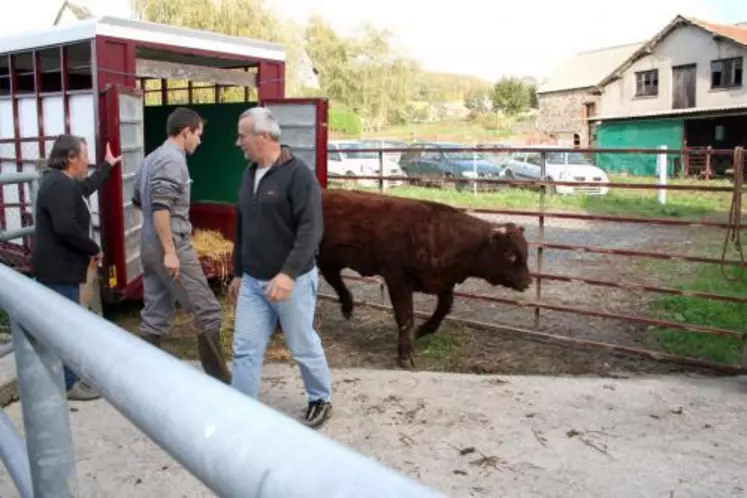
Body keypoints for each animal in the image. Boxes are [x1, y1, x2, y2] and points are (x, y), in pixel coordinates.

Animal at [316, 191, 532, 370]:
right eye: (510, 254)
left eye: (525, 252)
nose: (528, 282)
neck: (438, 233)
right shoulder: (397, 279)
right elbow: (406, 316)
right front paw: (405, 355)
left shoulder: (443, 282)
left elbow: (444, 308)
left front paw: (423, 330)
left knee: (332, 276)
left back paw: (347, 306)